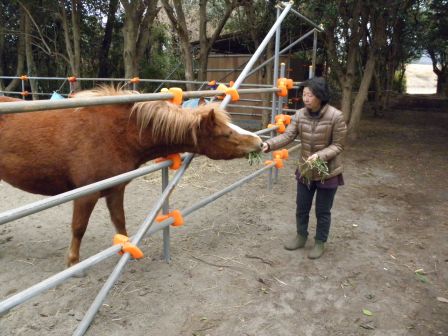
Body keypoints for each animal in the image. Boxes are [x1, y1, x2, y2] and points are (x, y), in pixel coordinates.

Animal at [0, 87, 262, 268]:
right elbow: (78, 228)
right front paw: (73, 263)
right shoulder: (86, 194)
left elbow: (120, 221)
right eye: (226, 134)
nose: (260, 143)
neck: (115, 133)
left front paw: (127, 251)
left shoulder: (116, 190)